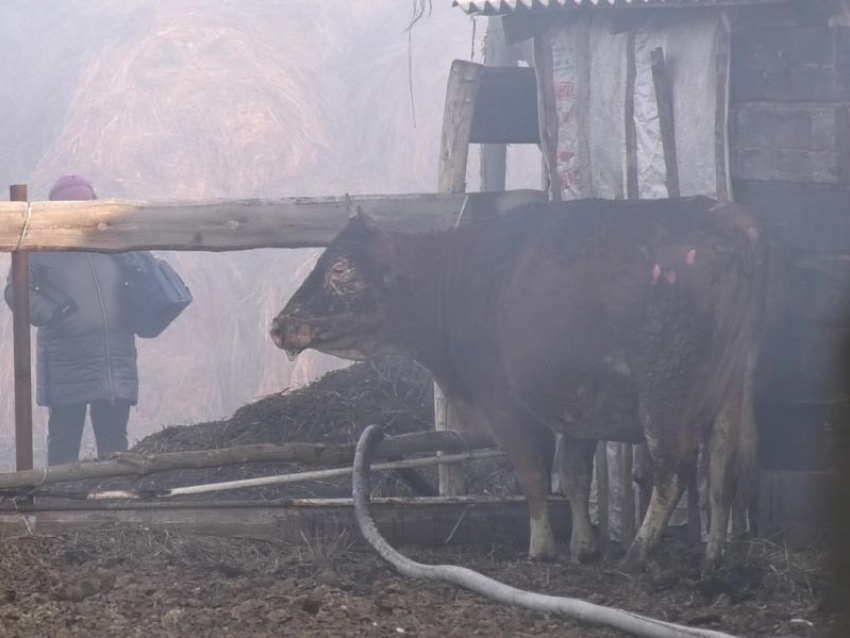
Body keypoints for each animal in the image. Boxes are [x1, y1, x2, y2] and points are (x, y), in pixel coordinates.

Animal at [274, 198, 768, 568]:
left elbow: (533, 472)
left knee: (675, 466)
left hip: (666, 393)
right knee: (724, 466)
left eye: (340, 269)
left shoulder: (507, 406)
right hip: (733, 390)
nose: (279, 325)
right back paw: (714, 557)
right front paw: (583, 547)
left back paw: (638, 553)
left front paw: (542, 547)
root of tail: (726, 218)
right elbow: (572, 472)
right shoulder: (578, 403)